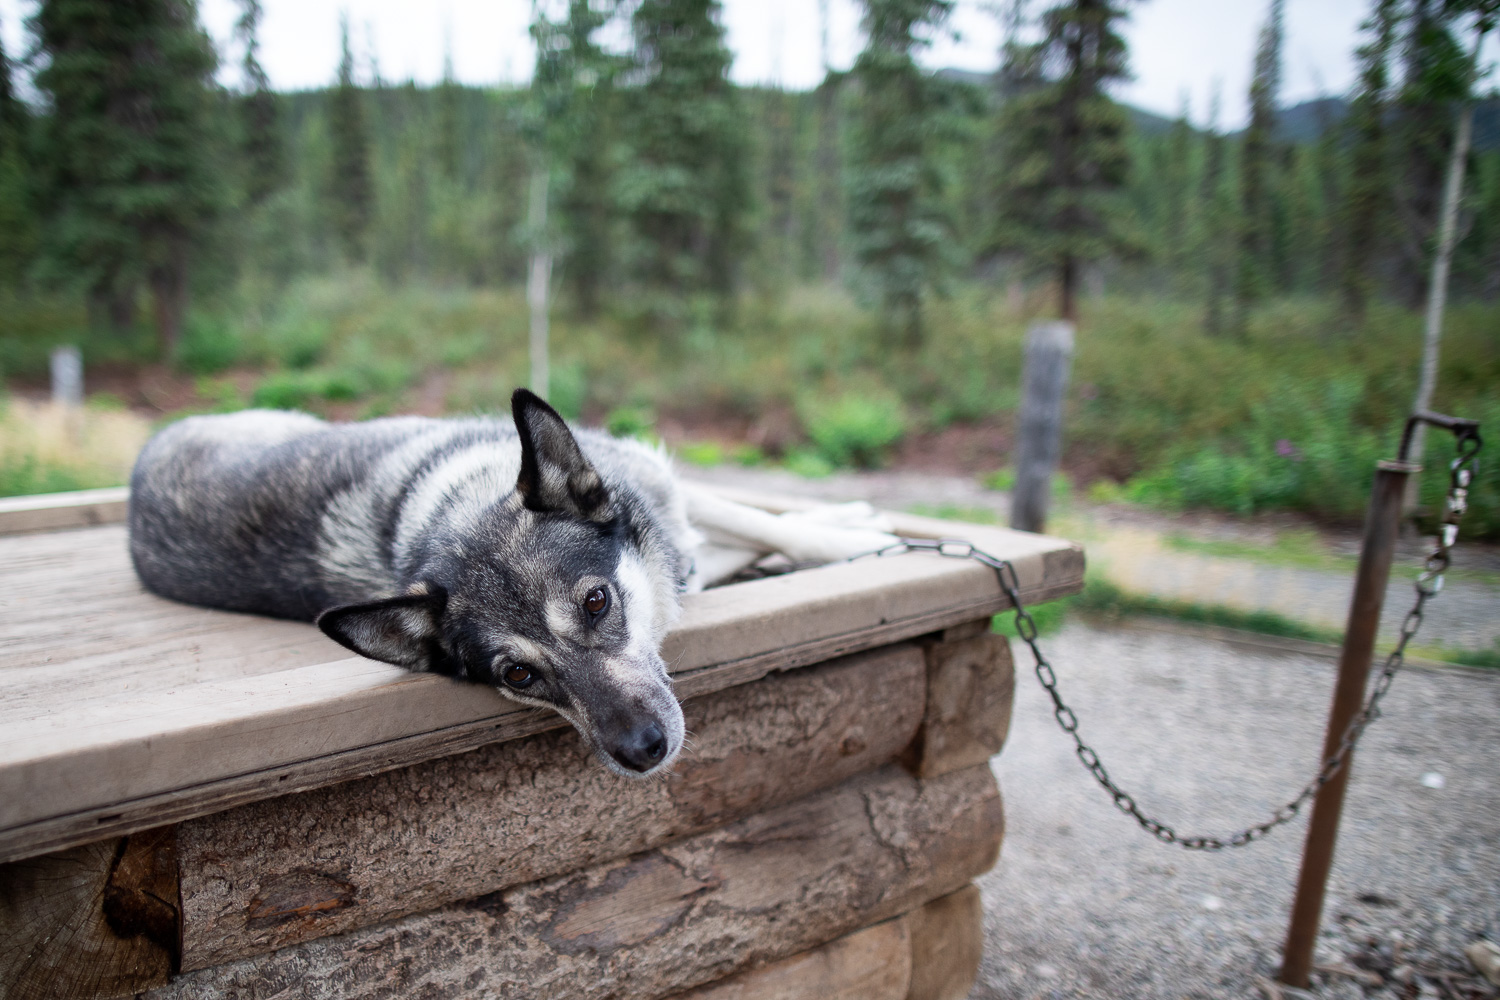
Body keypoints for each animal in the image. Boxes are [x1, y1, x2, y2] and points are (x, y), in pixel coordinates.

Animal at [129, 389, 888, 773]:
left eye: (596, 602)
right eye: (519, 676)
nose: (641, 753)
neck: (459, 503)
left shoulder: (657, 487)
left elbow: (753, 521)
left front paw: (851, 530)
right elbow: (724, 541)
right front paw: (857, 532)